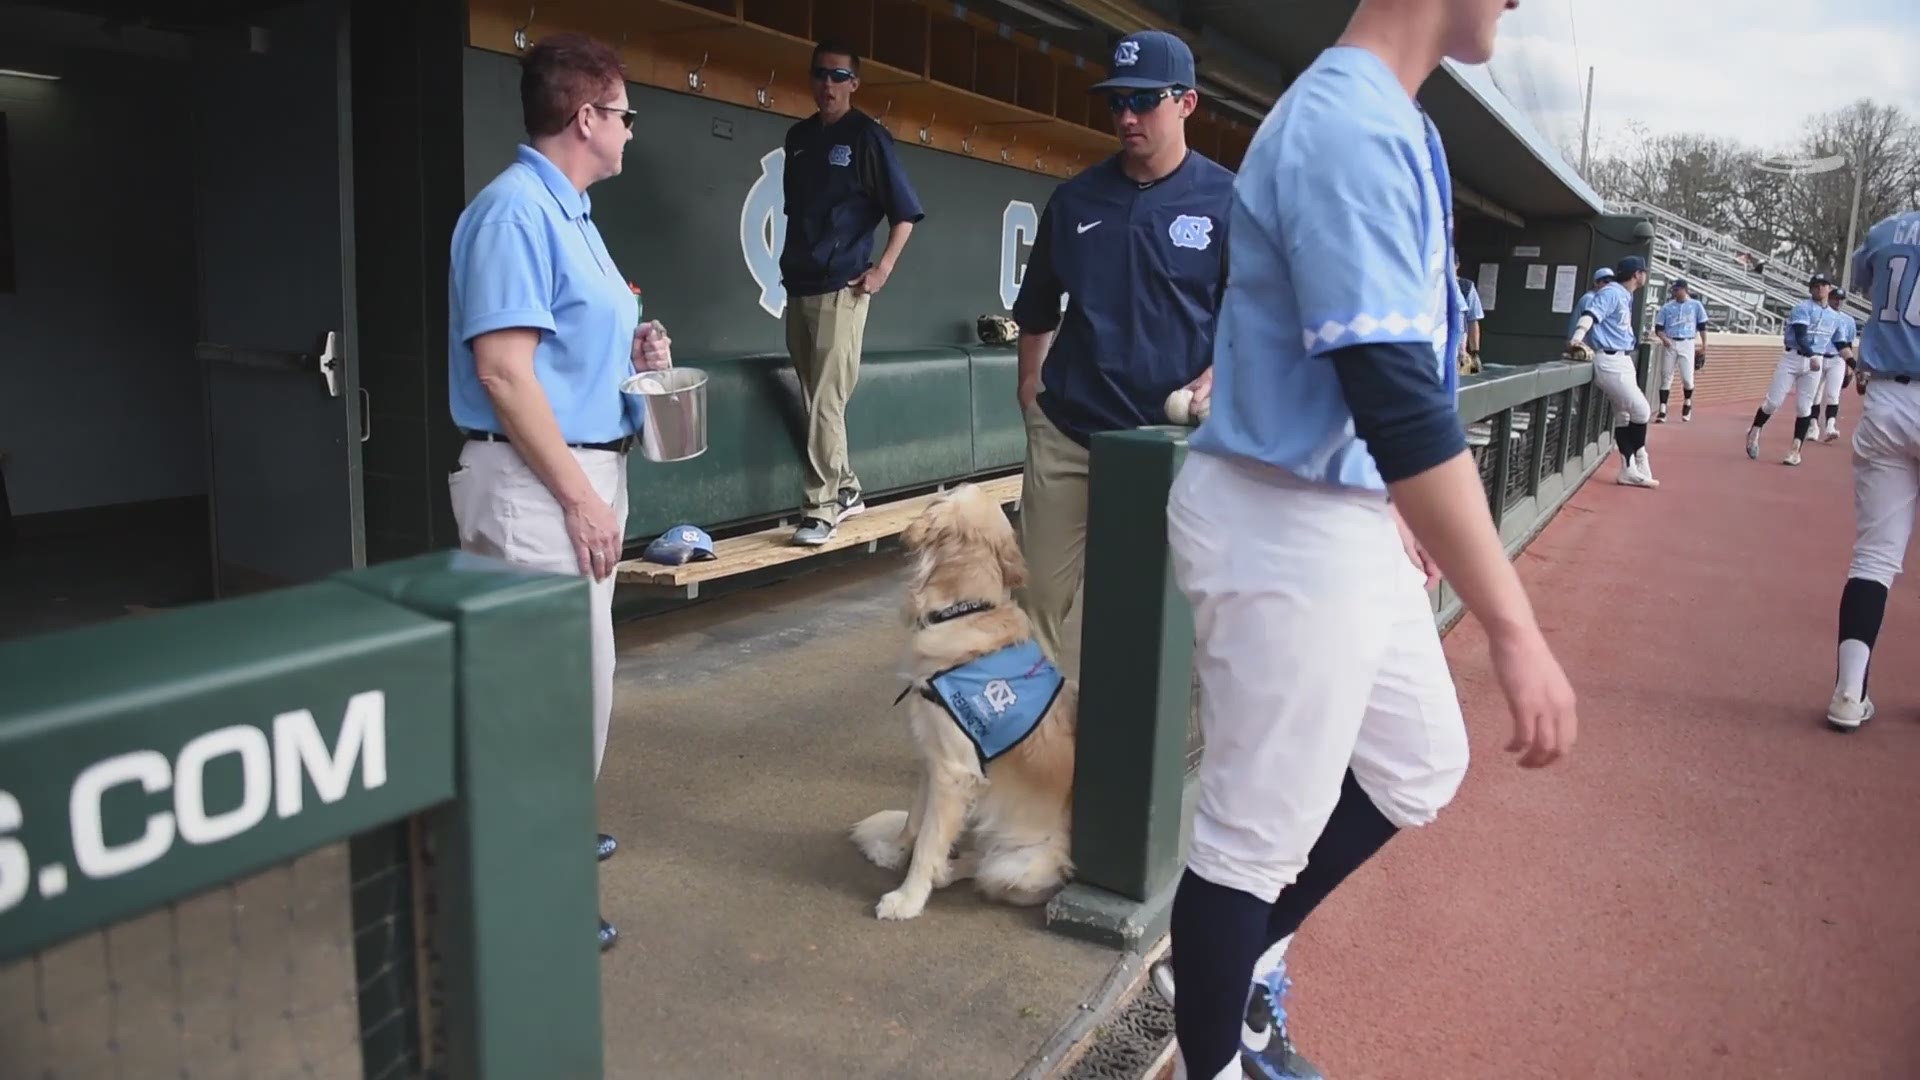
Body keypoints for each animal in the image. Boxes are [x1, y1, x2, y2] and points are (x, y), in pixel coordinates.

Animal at [856, 480, 1082, 914]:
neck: (964, 611)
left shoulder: (955, 773)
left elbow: (928, 842)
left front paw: (907, 898)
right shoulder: (934, 759)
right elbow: (914, 820)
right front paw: (894, 851)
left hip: (1017, 865)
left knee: (985, 866)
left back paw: (945, 872)